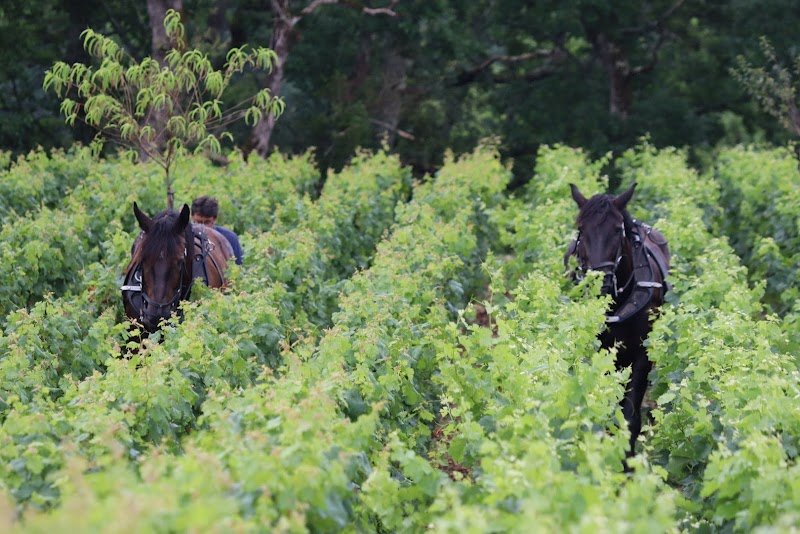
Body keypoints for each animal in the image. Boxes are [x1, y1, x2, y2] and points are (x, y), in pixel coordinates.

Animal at [565, 182, 670, 457]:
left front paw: (626, 459)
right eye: (581, 230)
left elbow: (630, 416)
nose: (600, 283)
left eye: (616, 230)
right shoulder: (599, 352)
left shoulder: (642, 354)